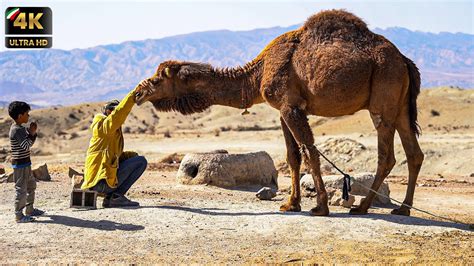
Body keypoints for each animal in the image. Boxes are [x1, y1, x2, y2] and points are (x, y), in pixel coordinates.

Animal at [135, 9, 424, 216]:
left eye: (158, 79)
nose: (137, 93)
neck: (259, 71)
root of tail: (405, 60)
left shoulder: (290, 106)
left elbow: (309, 151)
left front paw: (320, 207)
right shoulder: (284, 110)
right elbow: (293, 156)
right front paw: (290, 204)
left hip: (383, 98)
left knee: (387, 156)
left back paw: (363, 207)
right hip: (400, 107)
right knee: (414, 154)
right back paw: (403, 208)